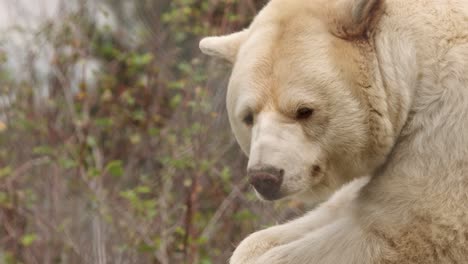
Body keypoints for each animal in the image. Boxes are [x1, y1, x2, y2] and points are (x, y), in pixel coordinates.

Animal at [198, 0, 468, 262]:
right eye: (248, 116)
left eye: (304, 111)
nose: (265, 177)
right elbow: (337, 209)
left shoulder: (444, 131)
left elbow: (407, 230)